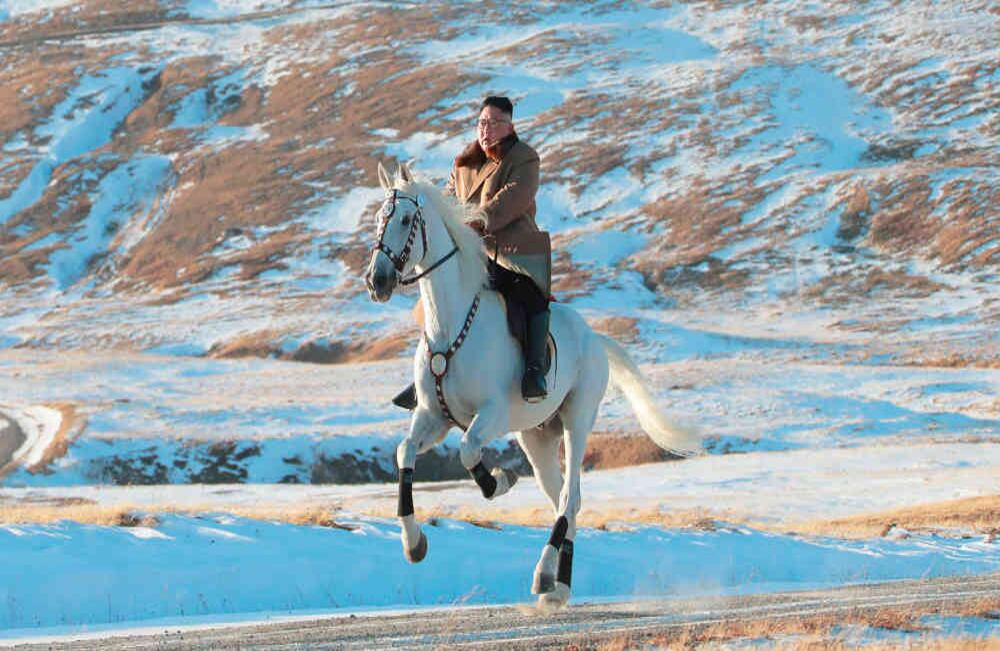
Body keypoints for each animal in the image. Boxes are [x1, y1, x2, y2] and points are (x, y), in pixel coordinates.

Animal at [364, 162, 701, 609]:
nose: (377, 281)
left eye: (404, 220)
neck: (449, 326)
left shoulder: (489, 415)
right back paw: (558, 586)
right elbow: (405, 452)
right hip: (537, 438)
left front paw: (498, 482)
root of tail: (594, 338)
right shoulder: (433, 417)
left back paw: (545, 576)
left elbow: (468, 449)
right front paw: (414, 544)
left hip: (576, 421)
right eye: (378, 220)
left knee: (569, 497)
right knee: (563, 499)